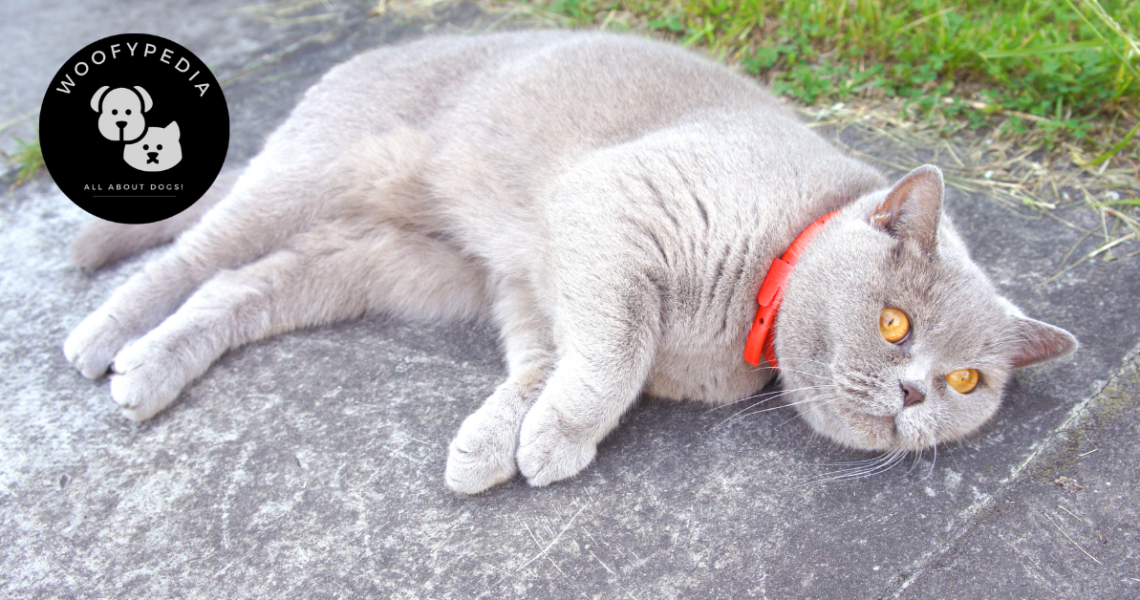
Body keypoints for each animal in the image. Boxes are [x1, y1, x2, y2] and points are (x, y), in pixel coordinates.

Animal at [62, 30, 1076, 497]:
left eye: (967, 381)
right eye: (895, 323)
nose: (914, 393)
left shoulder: (532, 286)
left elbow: (547, 364)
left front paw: (494, 443)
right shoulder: (613, 210)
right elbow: (612, 358)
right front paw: (553, 439)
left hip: (396, 264)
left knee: (244, 286)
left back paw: (153, 369)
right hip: (317, 169)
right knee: (195, 252)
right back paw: (104, 340)